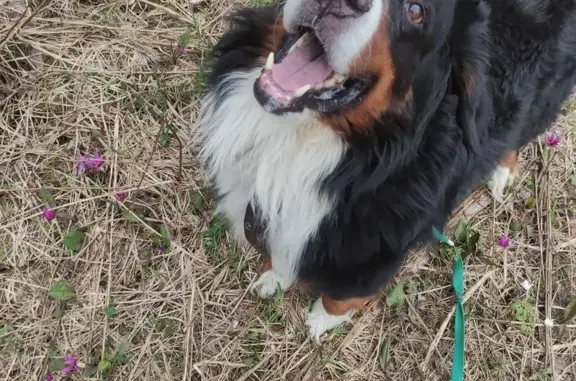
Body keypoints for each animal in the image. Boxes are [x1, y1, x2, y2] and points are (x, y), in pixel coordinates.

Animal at [197, 0, 576, 342]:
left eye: (416, 10)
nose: (341, 2)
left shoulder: (382, 250)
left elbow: (343, 295)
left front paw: (321, 320)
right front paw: (273, 278)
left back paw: (501, 174)